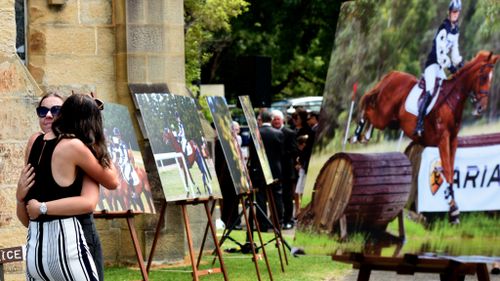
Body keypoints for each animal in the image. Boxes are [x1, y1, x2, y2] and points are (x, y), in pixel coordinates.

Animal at [352, 50, 500, 223]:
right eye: (483, 77)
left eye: (491, 78)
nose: (481, 108)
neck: (453, 100)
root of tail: (393, 75)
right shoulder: (443, 139)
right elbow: (447, 170)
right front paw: (453, 209)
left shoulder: (453, 140)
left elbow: (450, 169)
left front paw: (453, 208)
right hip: (383, 116)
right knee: (367, 106)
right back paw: (357, 134)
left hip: (390, 120)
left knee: (370, 111)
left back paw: (365, 135)